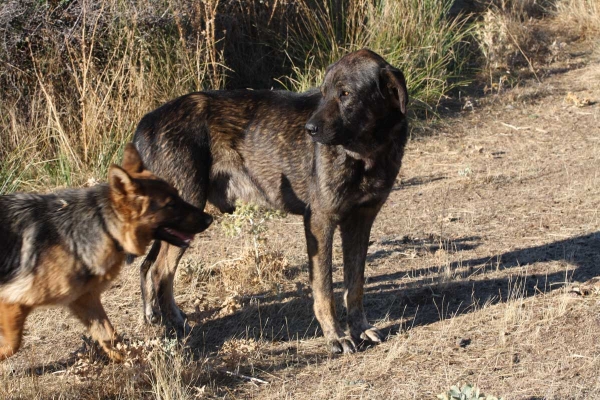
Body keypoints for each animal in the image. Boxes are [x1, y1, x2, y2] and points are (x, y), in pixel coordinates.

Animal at [0, 145, 213, 362]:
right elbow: (11, 345)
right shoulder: (11, 302)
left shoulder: (85, 300)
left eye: (178, 195)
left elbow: (112, 338)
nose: (209, 218)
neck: (104, 225)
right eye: (171, 204)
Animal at [134, 49, 410, 354]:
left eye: (345, 94)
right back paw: (174, 326)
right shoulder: (320, 221)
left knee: (147, 265)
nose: (309, 129)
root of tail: (145, 123)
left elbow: (355, 284)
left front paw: (359, 328)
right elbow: (324, 288)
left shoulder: (361, 221)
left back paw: (155, 318)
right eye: (324, 93)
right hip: (187, 211)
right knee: (160, 270)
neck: (366, 153)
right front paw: (335, 337)